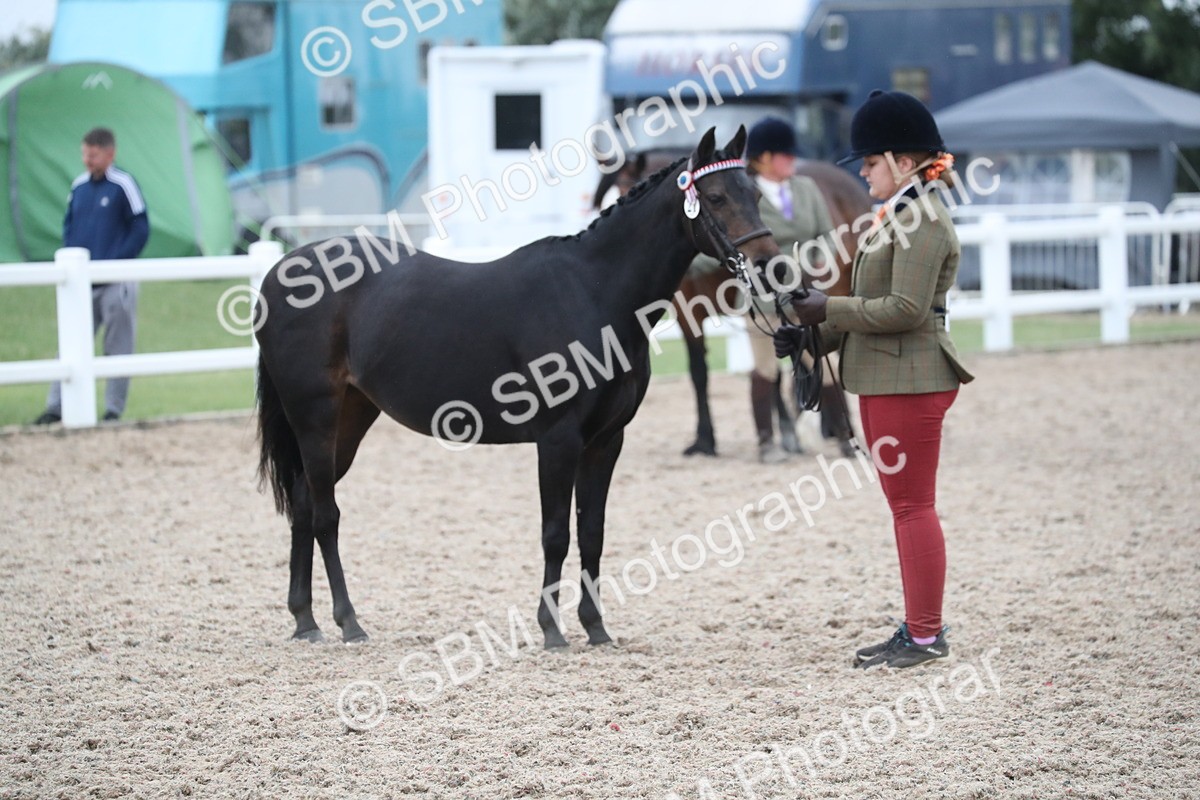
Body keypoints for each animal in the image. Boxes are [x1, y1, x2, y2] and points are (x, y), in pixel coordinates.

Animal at [254, 127, 781, 648]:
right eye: (716, 196)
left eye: (755, 194)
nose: (769, 266)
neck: (593, 291)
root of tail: (280, 274)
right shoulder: (558, 440)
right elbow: (556, 534)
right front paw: (551, 630)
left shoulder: (606, 441)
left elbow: (592, 533)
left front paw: (596, 628)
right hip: (316, 417)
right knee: (326, 514)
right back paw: (348, 622)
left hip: (351, 416)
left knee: (303, 502)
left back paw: (306, 621)